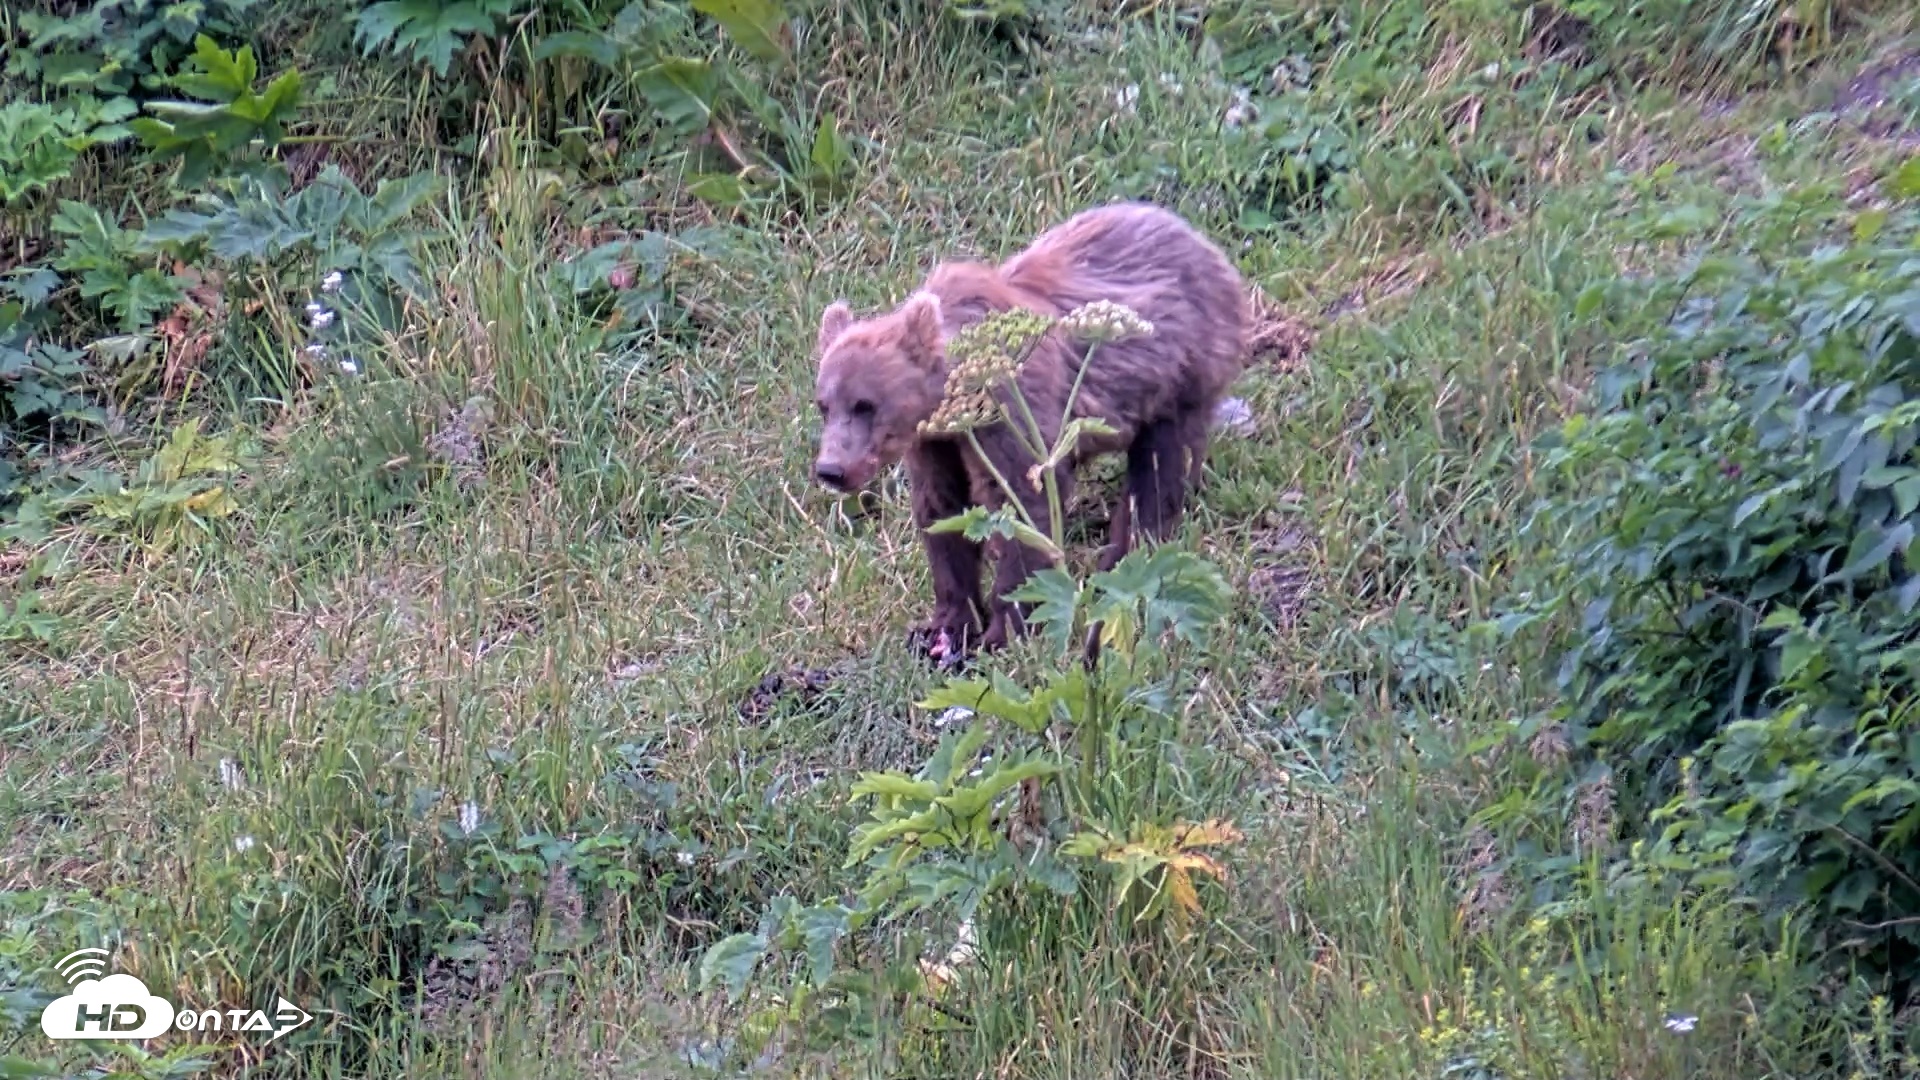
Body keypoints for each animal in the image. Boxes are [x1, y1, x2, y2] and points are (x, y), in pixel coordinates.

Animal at [810, 201, 1250, 663]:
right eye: (824, 404)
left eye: (866, 404)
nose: (831, 470)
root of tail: (1206, 244)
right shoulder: (935, 441)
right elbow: (942, 511)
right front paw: (943, 627)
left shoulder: (1011, 411)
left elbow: (1022, 502)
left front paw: (1003, 631)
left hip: (1179, 372)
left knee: (1158, 469)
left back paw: (1122, 556)